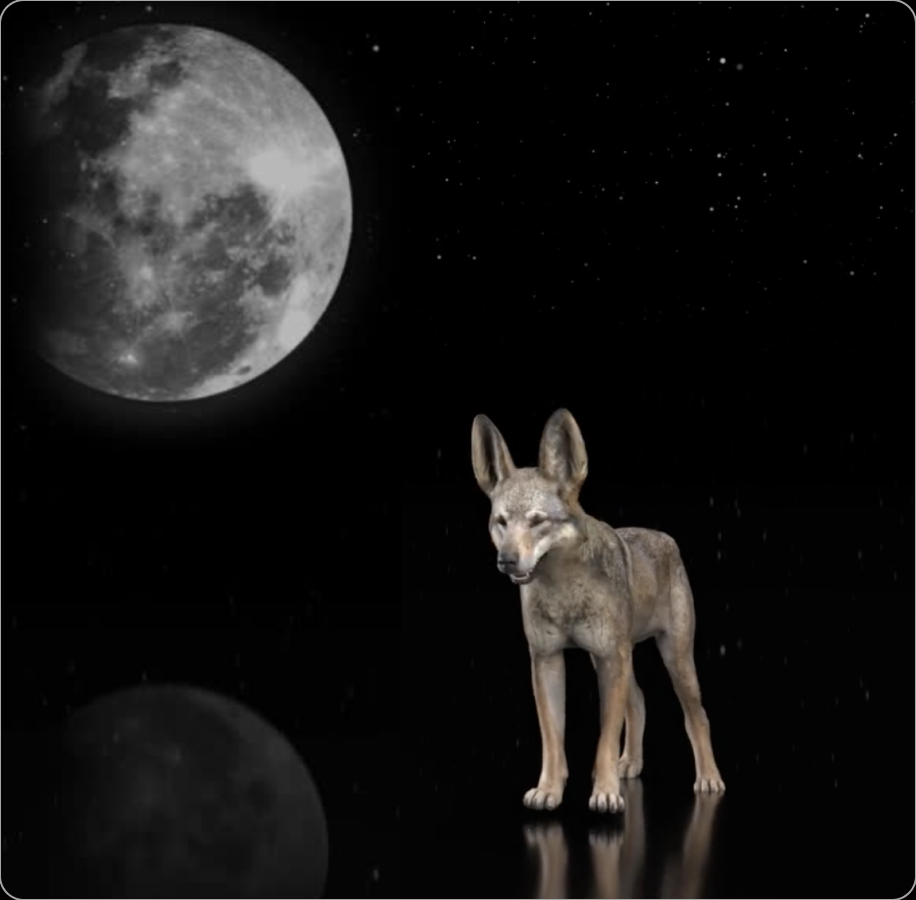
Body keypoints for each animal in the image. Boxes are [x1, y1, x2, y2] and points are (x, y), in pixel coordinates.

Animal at [471, 409, 725, 813]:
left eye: (537, 521)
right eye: (502, 523)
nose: (506, 560)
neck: (563, 589)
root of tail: (666, 537)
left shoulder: (610, 658)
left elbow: (605, 735)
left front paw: (605, 793)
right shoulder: (547, 660)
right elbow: (553, 739)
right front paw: (548, 790)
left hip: (673, 659)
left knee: (696, 716)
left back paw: (709, 778)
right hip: (614, 659)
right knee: (638, 702)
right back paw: (630, 764)